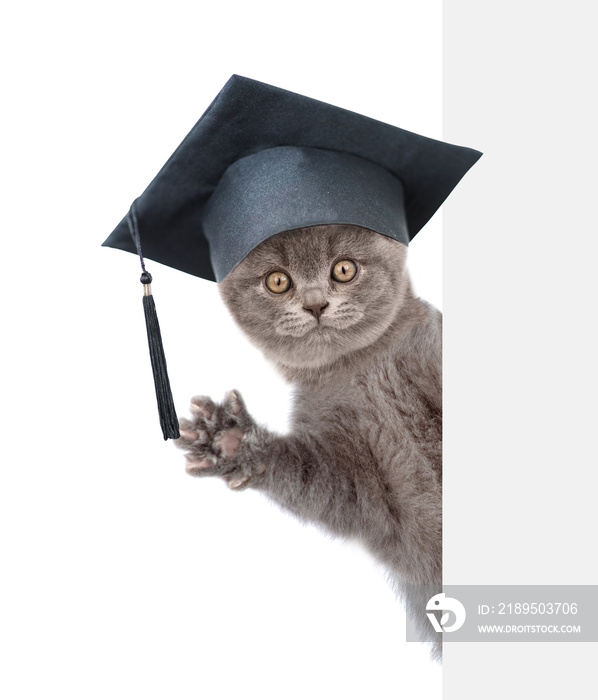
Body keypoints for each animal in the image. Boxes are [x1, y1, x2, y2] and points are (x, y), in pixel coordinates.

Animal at [176, 226, 442, 660]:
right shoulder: (358, 485)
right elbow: (319, 484)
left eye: (344, 269)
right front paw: (230, 439)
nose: (316, 304)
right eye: (278, 281)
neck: (361, 368)